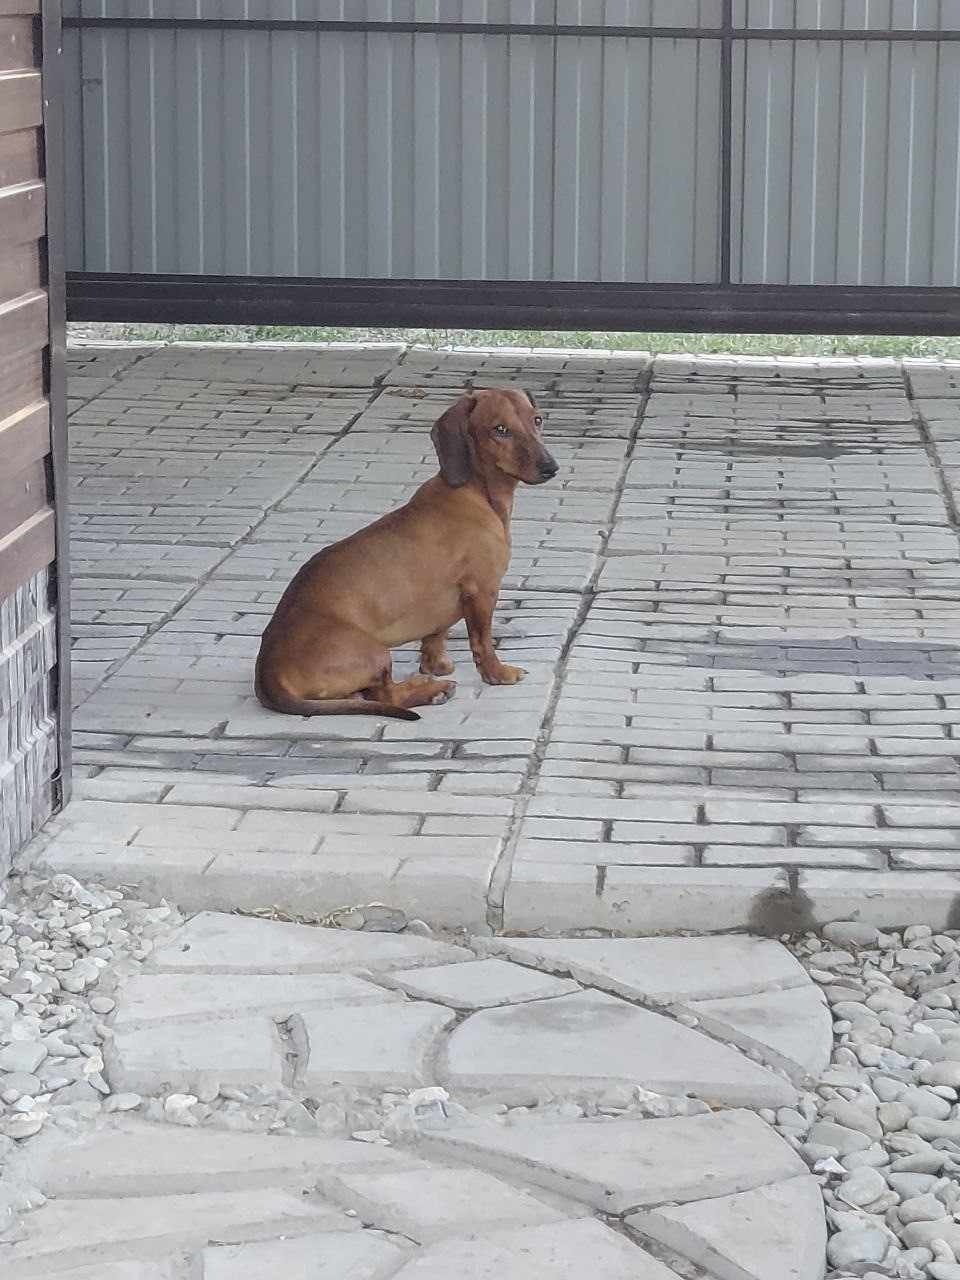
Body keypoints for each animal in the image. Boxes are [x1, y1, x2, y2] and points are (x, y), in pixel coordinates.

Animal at [254, 388, 558, 721]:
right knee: (386, 695)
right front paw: (498, 673)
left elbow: (436, 636)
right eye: (500, 429)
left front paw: (436, 665)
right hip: (374, 651)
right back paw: (433, 690)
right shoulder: (482, 591)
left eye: (537, 420)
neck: (474, 493)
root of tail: (267, 674)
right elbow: (482, 641)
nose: (550, 467)